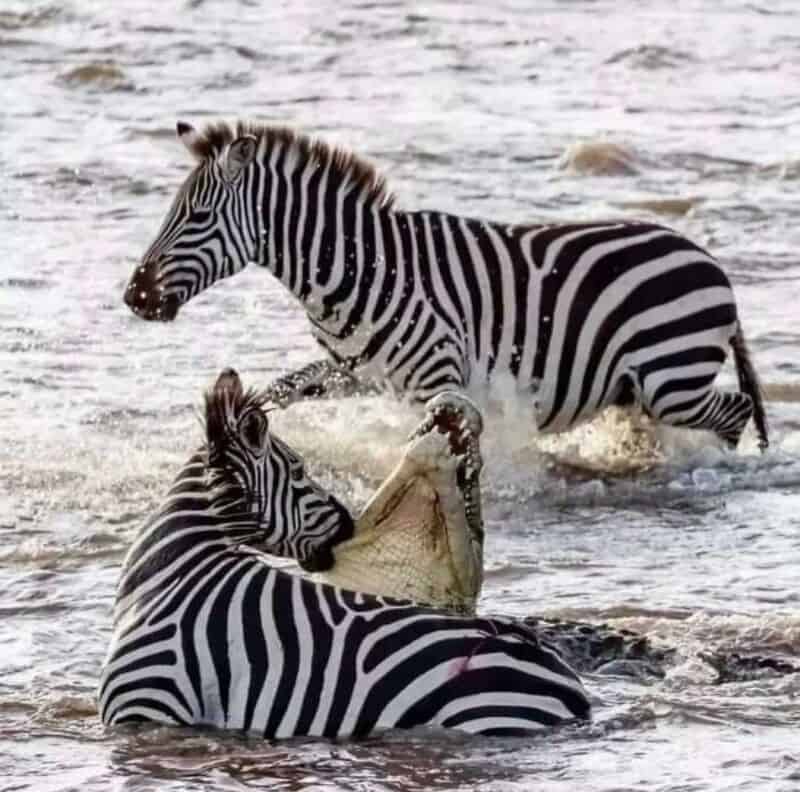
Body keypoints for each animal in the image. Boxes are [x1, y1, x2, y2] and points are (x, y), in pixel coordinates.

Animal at [123, 120, 768, 450]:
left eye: (197, 217)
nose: (135, 296)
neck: (356, 268)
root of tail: (714, 267)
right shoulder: (352, 371)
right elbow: (276, 392)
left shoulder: (438, 376)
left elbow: (430, 438)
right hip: (639, 386)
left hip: (670, 377)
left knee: (733, 413)